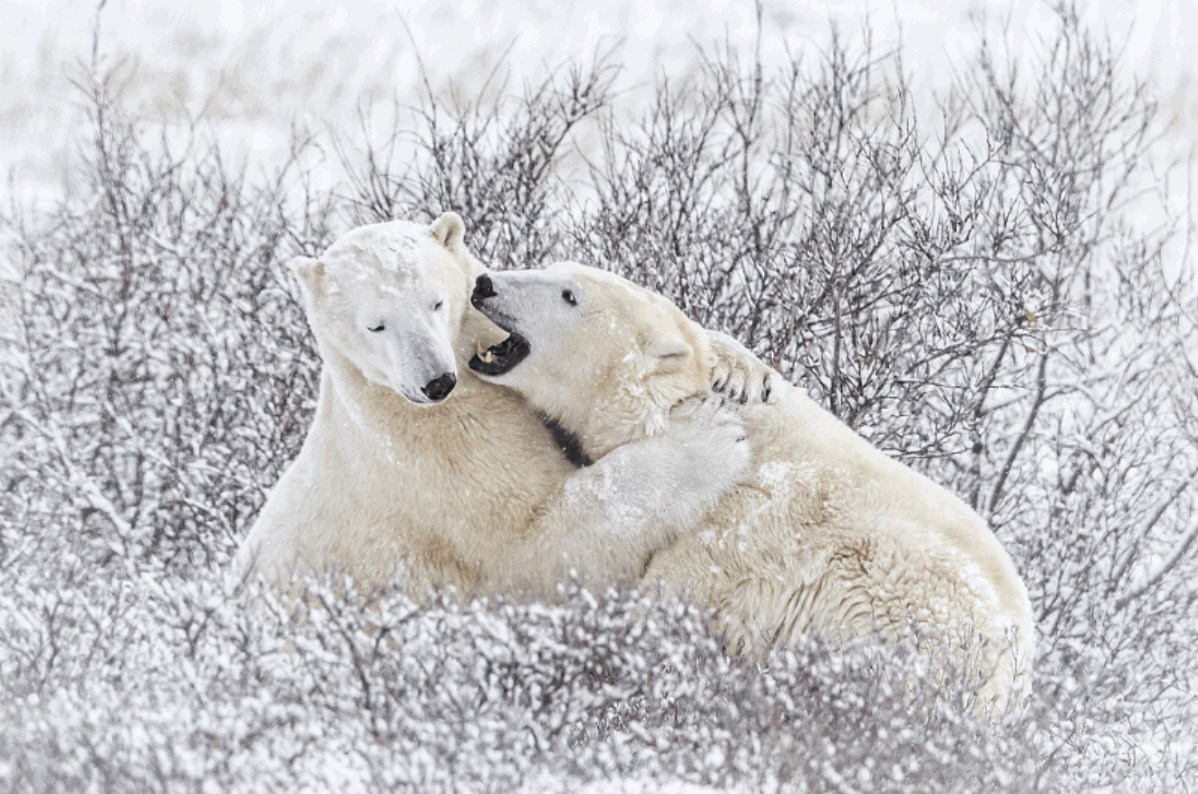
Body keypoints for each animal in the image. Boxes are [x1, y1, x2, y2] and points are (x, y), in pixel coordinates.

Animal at [232, 214, 775, 600]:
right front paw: (708, 437)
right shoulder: (433, 462)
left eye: (436, 302)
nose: (437, 381)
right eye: (375, 325)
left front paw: (740, 372)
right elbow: (535, 550)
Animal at [467, 260, 1036, 714]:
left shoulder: (735, 529)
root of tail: (1013, 678)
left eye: (569, 294)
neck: (674, 406)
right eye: (550, 264)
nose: (486, 283)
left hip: (902, 635)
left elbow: (663, 606)